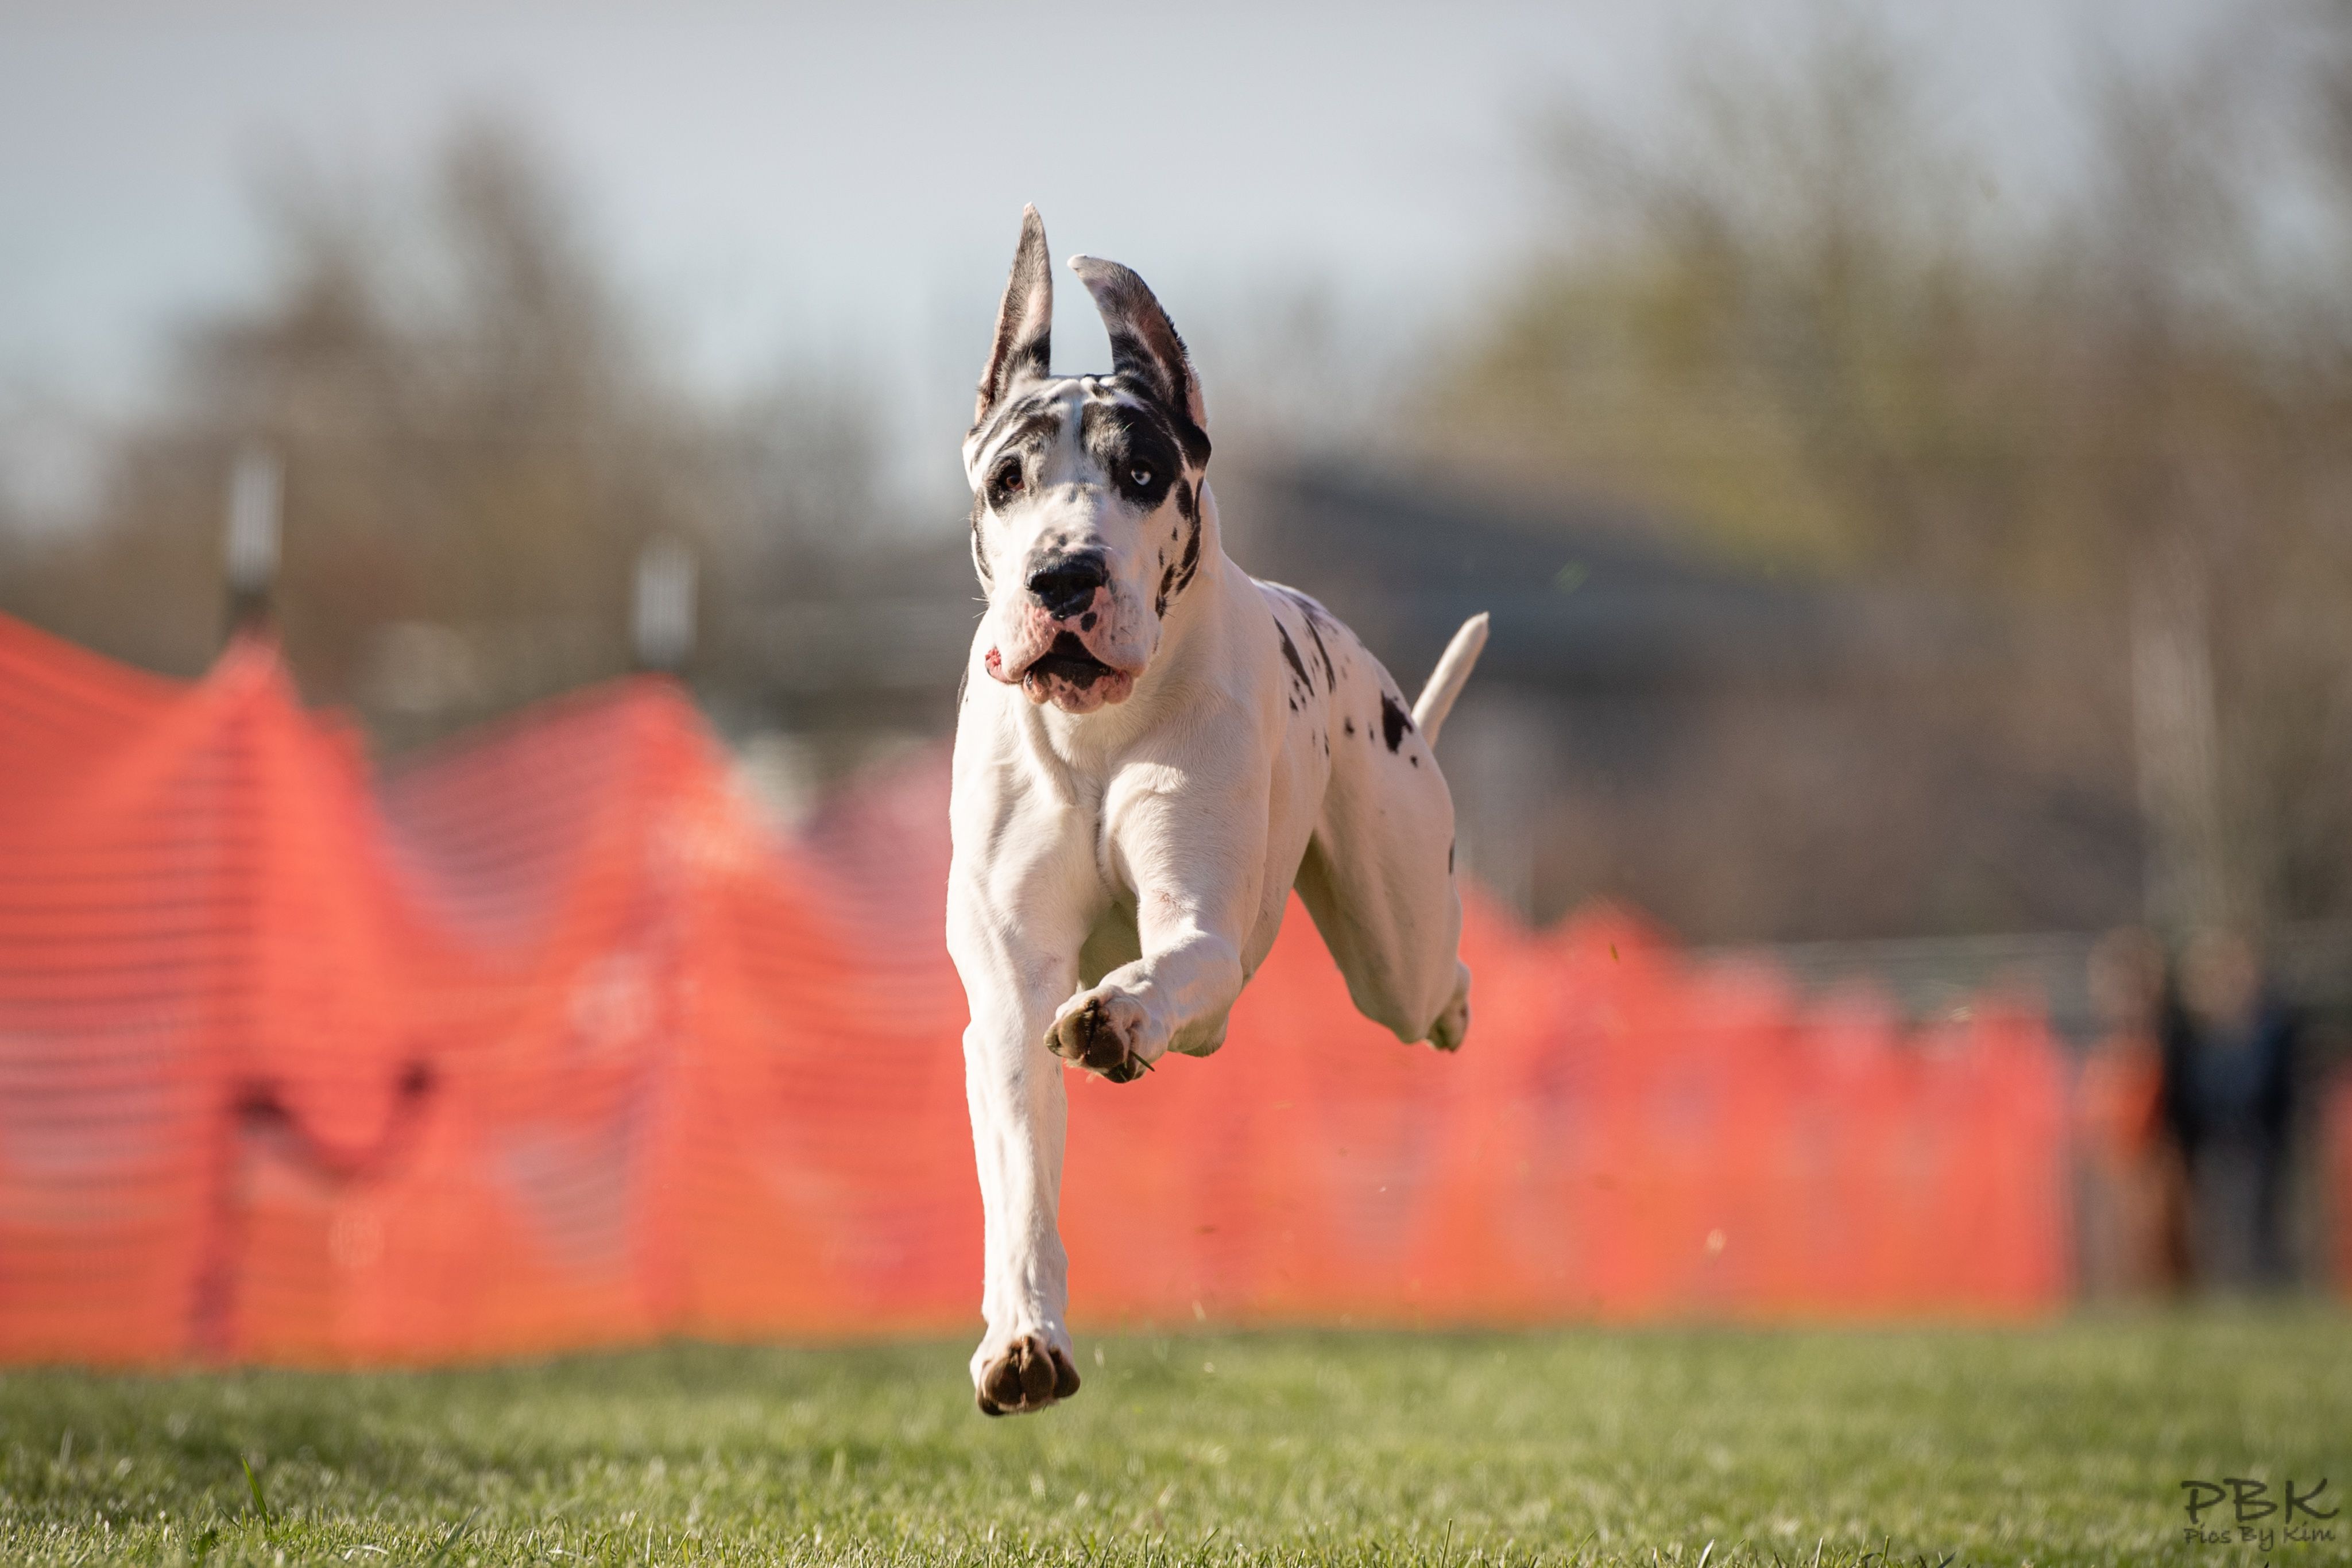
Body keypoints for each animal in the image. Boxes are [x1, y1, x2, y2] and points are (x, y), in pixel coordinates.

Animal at [941, 202, 1477, 1420]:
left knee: (1428, 984)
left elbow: (1174, 962)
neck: (1095, 734)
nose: (1064, 577)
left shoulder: (1199, 923)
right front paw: (1022, 1337)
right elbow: (1020, 1183)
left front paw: (1121, 1014)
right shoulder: (1008, 993)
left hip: (1396, 947)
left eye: (1143, 472)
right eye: (1009, 479)